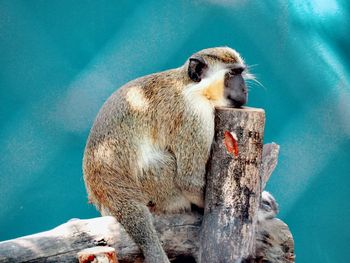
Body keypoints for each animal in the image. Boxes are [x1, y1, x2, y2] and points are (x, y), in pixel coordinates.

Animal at [82, 48, 249, 263]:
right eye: (232, 74)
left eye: (240, 72)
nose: (244, 90)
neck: (190, 87)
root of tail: (108, 193)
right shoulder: (195, 116)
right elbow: (189, 180)